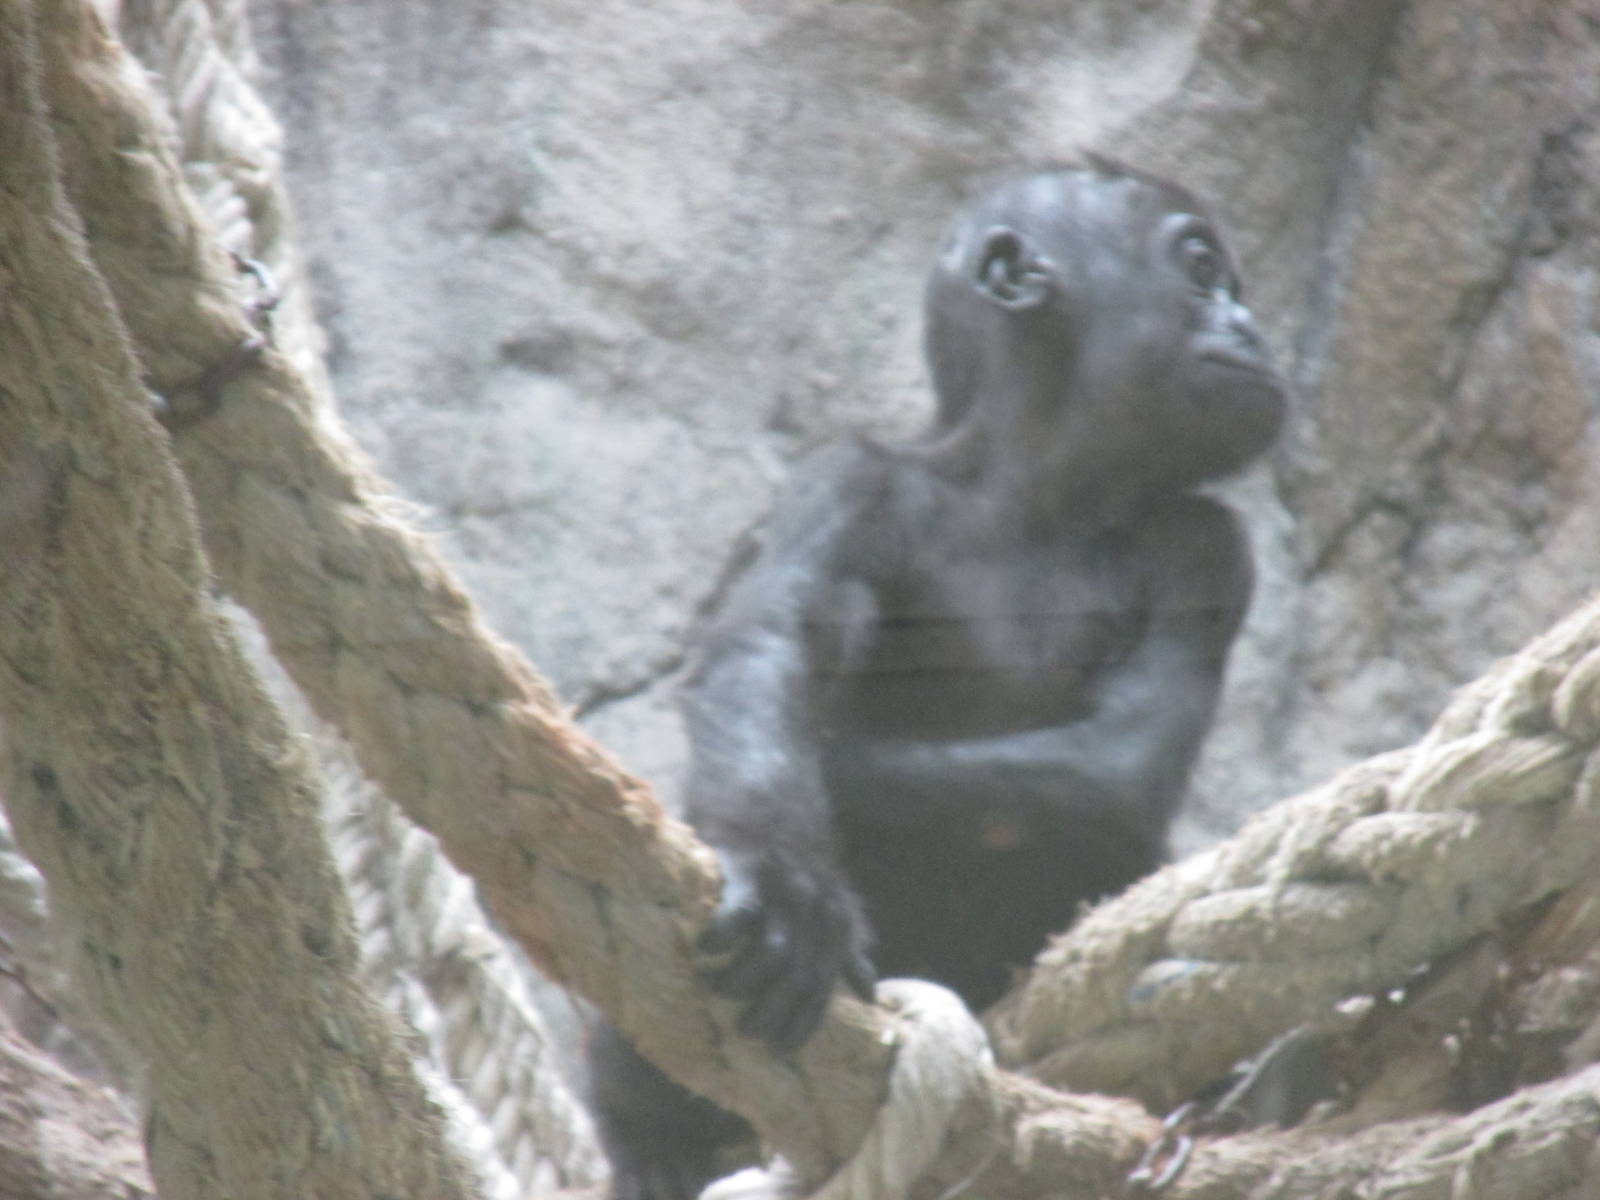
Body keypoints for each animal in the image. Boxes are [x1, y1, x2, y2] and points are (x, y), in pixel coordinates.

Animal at [589, 159, 1287, 1200]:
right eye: (1202, 270)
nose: (1249, 323)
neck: (1039, 487)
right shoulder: (851, 482)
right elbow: (775, 637)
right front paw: (781, 872)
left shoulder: (1206, 546)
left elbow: (1121, 760)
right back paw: (649, 1135)